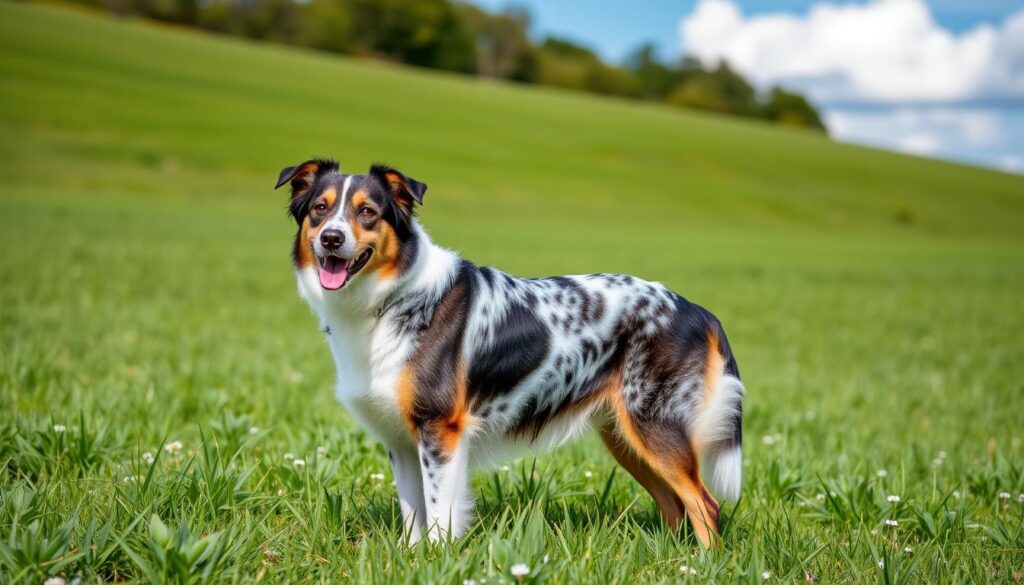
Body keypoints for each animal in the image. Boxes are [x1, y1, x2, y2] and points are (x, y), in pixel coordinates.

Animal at [280, 157, 745, 549]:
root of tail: (695, 309)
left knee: (705, 504)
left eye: (367, 213)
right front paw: (408, 559)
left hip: (654, 425)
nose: (332, 238)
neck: (390, 298)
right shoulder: (401, 438)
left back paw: (702, 566)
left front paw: (437, 560)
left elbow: (439, 514)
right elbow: (413, 514)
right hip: (625, 436)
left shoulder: (441, 429)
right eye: (319, 209)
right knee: (674, 504)